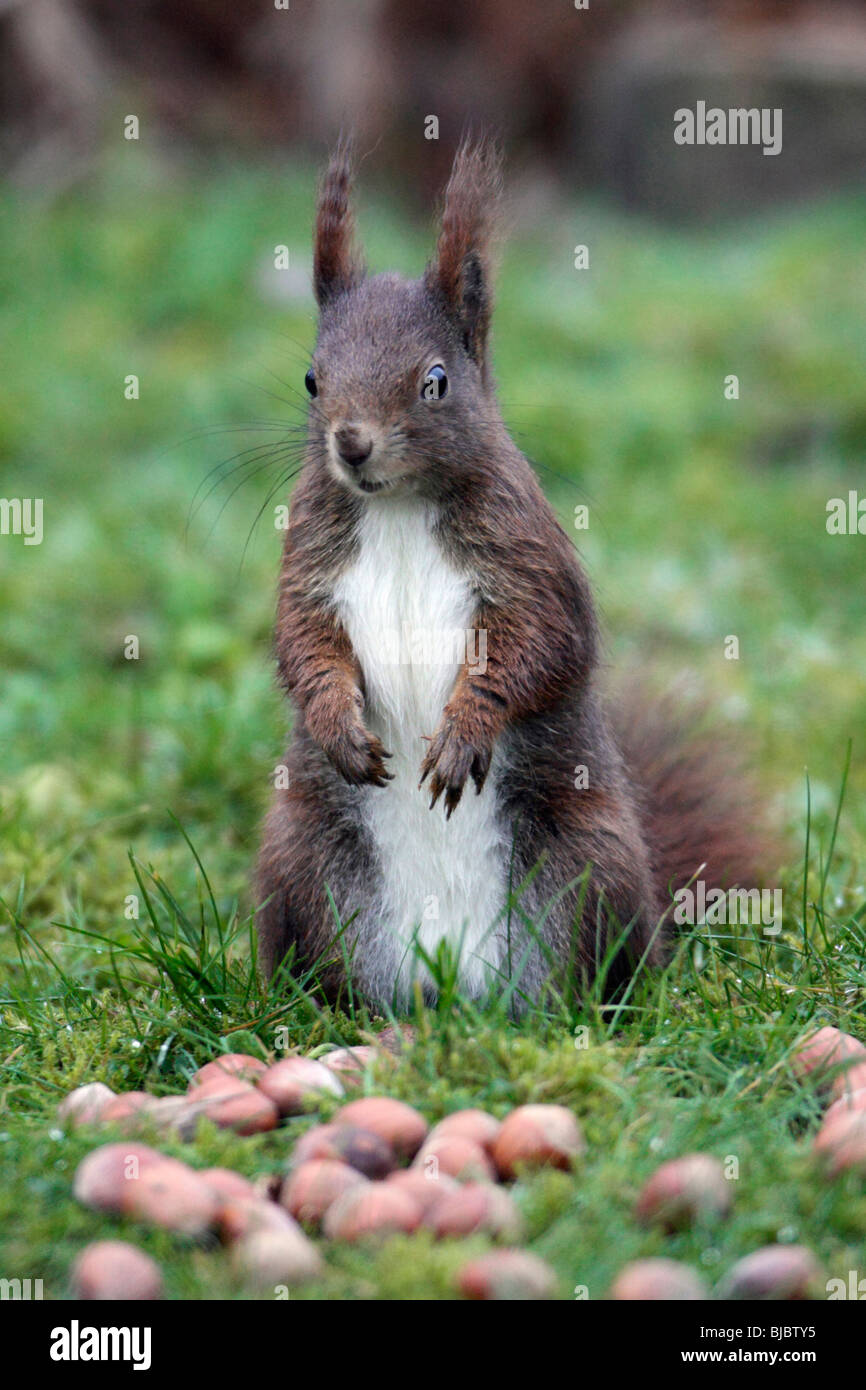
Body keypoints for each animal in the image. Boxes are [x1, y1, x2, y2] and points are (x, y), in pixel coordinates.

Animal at [254, 138, 778, 1011]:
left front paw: (466, 731)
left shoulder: (529, 561)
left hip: (588, 861)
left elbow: (541, 646)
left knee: (592, 969)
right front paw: (337, 724)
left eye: (435, 381)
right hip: (297, 862)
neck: (398, 508)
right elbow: (304, 645)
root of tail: (450, 984)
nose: (351, 444)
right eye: (311, 380)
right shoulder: (310, 564)